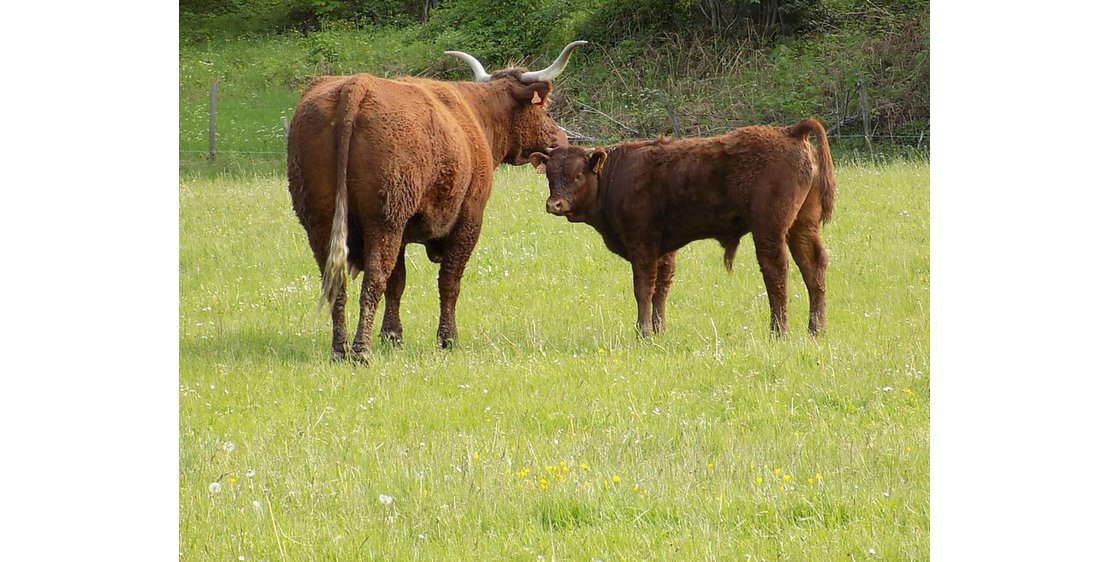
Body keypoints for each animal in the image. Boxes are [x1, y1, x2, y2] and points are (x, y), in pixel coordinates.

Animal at [288, 42, 590, 359]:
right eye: (541, 107)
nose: (561, 138)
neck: (476, 117)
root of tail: (356, 84)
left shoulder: (404, 232)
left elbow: (398, 283)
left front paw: (392, 335)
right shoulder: (469, 219)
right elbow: (449, 281)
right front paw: (448, 339)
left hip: (320, 221)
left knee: (337, 283)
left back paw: (340, 350)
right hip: (384, 220)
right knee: (374, 279)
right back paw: (361, 351)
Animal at [528, 118, 834, 335]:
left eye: (578, 175)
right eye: (550, 176)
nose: (555, 204)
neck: (612, 175)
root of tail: (790, 132)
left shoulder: (643, 245)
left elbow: (643, 288)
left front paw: (643, 332)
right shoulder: (665, 249)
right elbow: (661, 288)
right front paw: (659, 329)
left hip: (770, 230)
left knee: (776, 271)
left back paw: (778, 331)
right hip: (802, 226)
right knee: (813, 266)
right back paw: (815, 329)